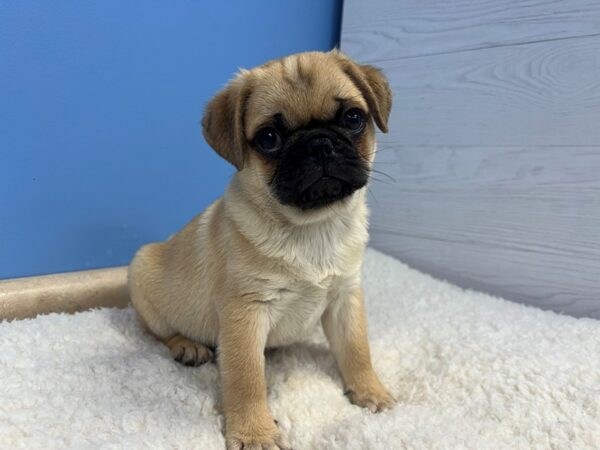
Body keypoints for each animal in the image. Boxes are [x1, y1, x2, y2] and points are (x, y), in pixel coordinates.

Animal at [127, 50, 394, 450]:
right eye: (269, 139)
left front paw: (369, 390)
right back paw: (187, 346)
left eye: (353, 118)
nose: (318, 144)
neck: (311, 228)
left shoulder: (346, 297)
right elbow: (247, 379)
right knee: (158, 331)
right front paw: (255, 433)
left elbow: (357, 349)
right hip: (142, 274)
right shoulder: (246, 312)